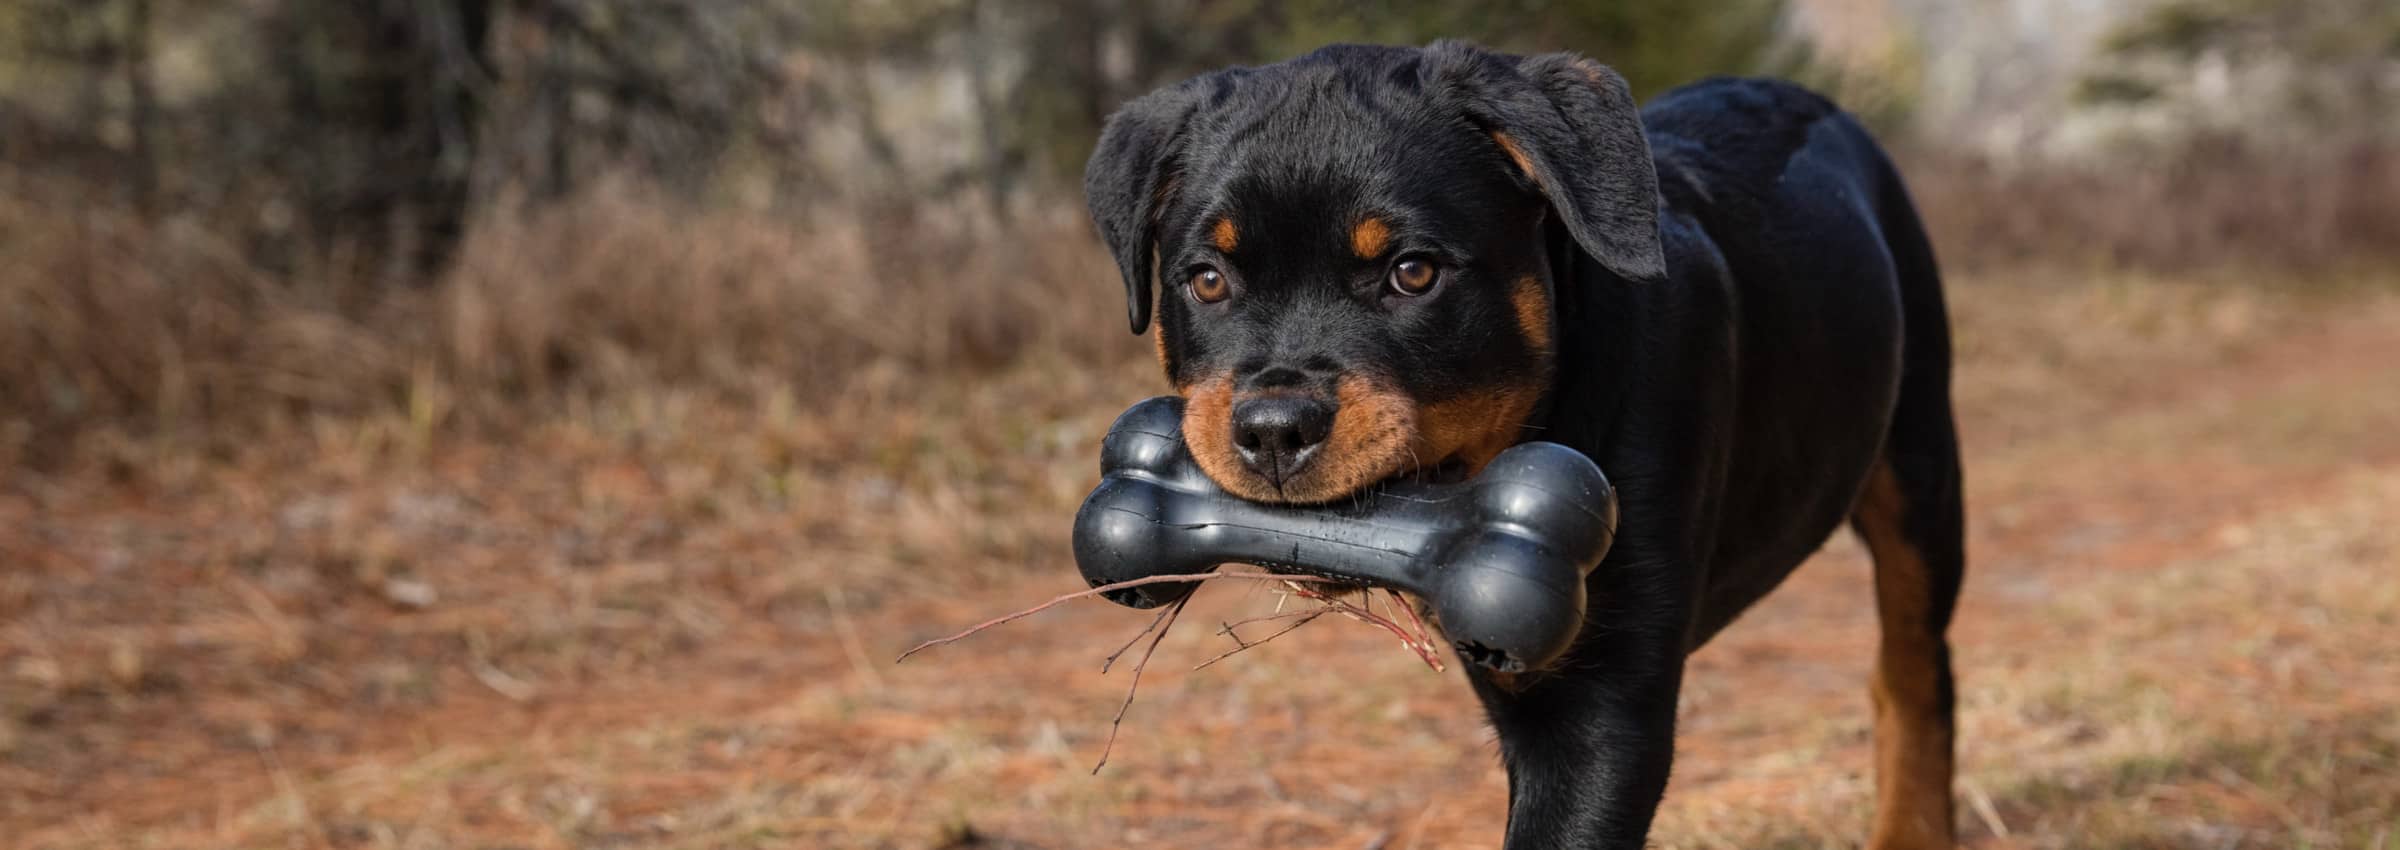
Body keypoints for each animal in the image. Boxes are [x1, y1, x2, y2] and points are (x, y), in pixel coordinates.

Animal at [1089, 41, 1968, 850]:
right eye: (1207, 280)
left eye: (1413, 272)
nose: (1275, 428)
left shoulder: (1599, 709)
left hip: (1921, 463)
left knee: (1914, 675)